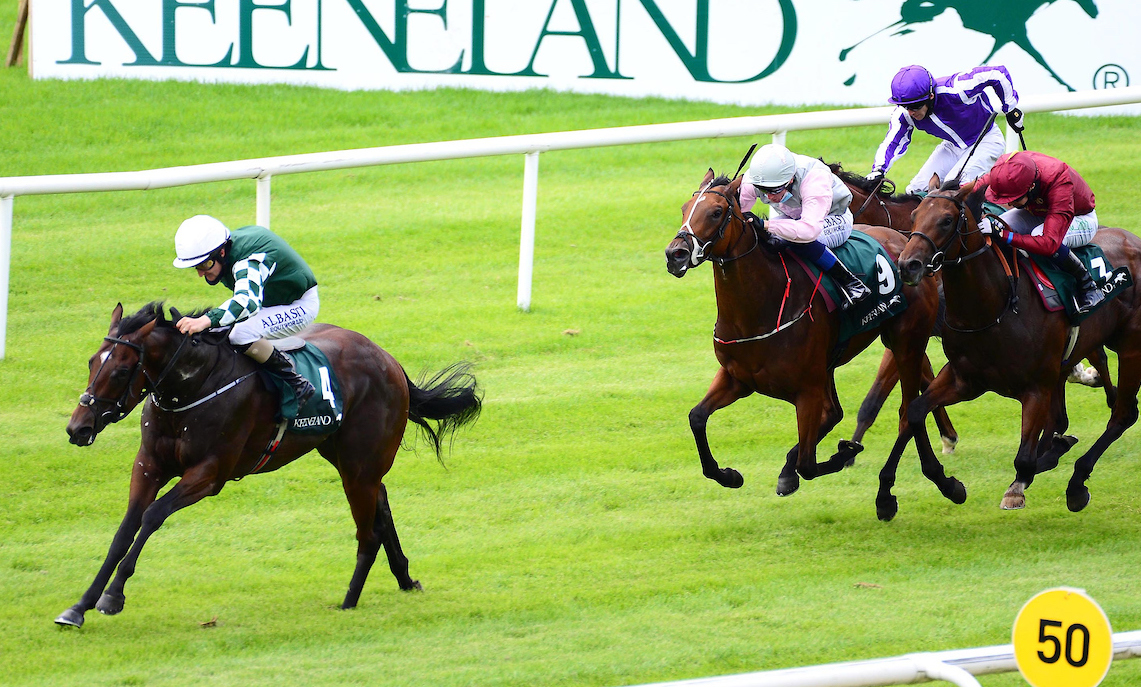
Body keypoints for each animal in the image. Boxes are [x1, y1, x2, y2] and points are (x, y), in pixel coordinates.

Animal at [56, 301, 481, 625]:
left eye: (121, 369)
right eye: (92, 361)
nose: (78, 427)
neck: (194, 388)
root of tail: (388, 359)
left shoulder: (209, 474)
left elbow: (153, 516)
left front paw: (113, 596)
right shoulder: (148, 466)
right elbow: (124, 531)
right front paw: (79, 606)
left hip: (358, 466)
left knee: (369, 532)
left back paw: (348, 601)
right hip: (346, 455)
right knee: (383, 501)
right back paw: (405, 578)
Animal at [666, 165, 958, 497]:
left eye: (715, 212)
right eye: (685, 209)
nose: (674, 254)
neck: (760, 308)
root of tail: (905, 242)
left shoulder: (807, 390)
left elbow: (807, 463)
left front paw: (838, 455)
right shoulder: (737, 378)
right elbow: (697, 418)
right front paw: (729, 475)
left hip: (906, 341)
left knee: (907, 410)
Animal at [889, 179, 1141, 515]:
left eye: (946, 220)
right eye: (914, 215)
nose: (908, 265)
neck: (992, 307)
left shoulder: (1036, 387)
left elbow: (1023, 458)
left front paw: (1016, 489)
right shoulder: (964, 380)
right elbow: (916, 410)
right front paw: (949, 486)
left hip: (1131, 346)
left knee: (1123, 414)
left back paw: (1076, 484)